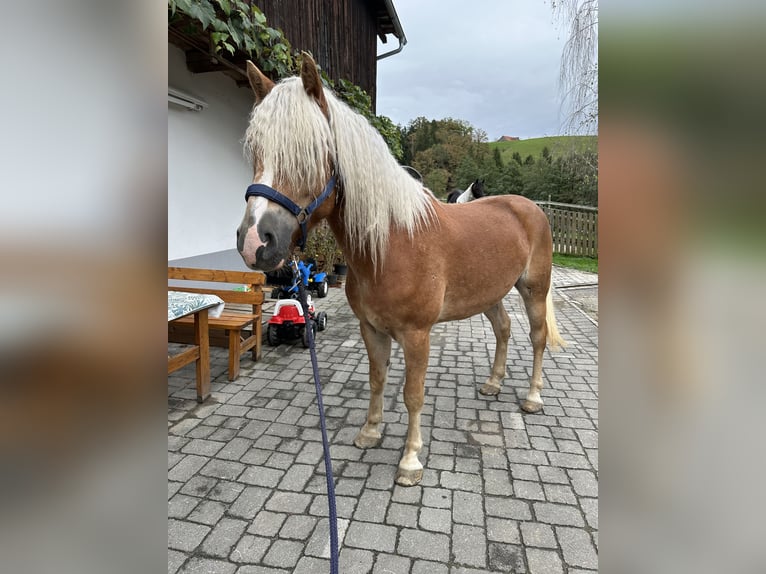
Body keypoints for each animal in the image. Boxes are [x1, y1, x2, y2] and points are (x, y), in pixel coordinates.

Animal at [236, 54, 566, 486]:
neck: (391, 244)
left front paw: (410, 461)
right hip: (490, 293)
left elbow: (413, 394)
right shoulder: (372, 329)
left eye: (311, 151)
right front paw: (370, 432)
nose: (255, 241)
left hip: (534, 289)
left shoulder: (417, 335)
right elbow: (377, 379)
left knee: (537, 336)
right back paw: (493, 384)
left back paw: (532, 397)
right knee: (503, 329)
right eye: (255, 150)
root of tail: (530, 208)